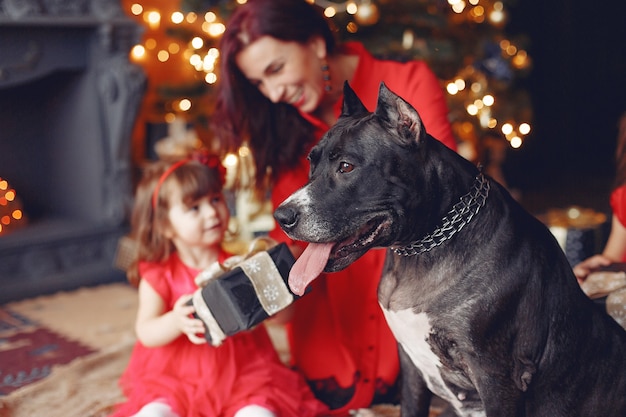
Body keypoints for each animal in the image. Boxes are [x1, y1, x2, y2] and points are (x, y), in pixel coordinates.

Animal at [276, 82, 624, 416]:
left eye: (346, 167)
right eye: (311, 163)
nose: (282, 216)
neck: (421, 248)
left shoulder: (496, 377)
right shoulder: (412, 371)